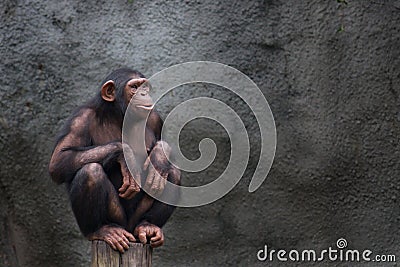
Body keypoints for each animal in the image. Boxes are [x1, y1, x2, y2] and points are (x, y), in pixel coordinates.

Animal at [48, 68, 181, 252]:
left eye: (145, 86)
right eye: (134, 87)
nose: (144, 93)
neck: (119, 115)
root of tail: (130, 231)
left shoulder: (154, 118)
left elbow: (169, 148)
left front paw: (158, 157)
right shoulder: (80, 119)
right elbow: (59, 160)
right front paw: (125, 155)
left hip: (135, 222)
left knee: (172, 173)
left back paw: (149, 225)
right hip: (117, 219)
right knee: (90, 172)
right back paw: (100, 230)